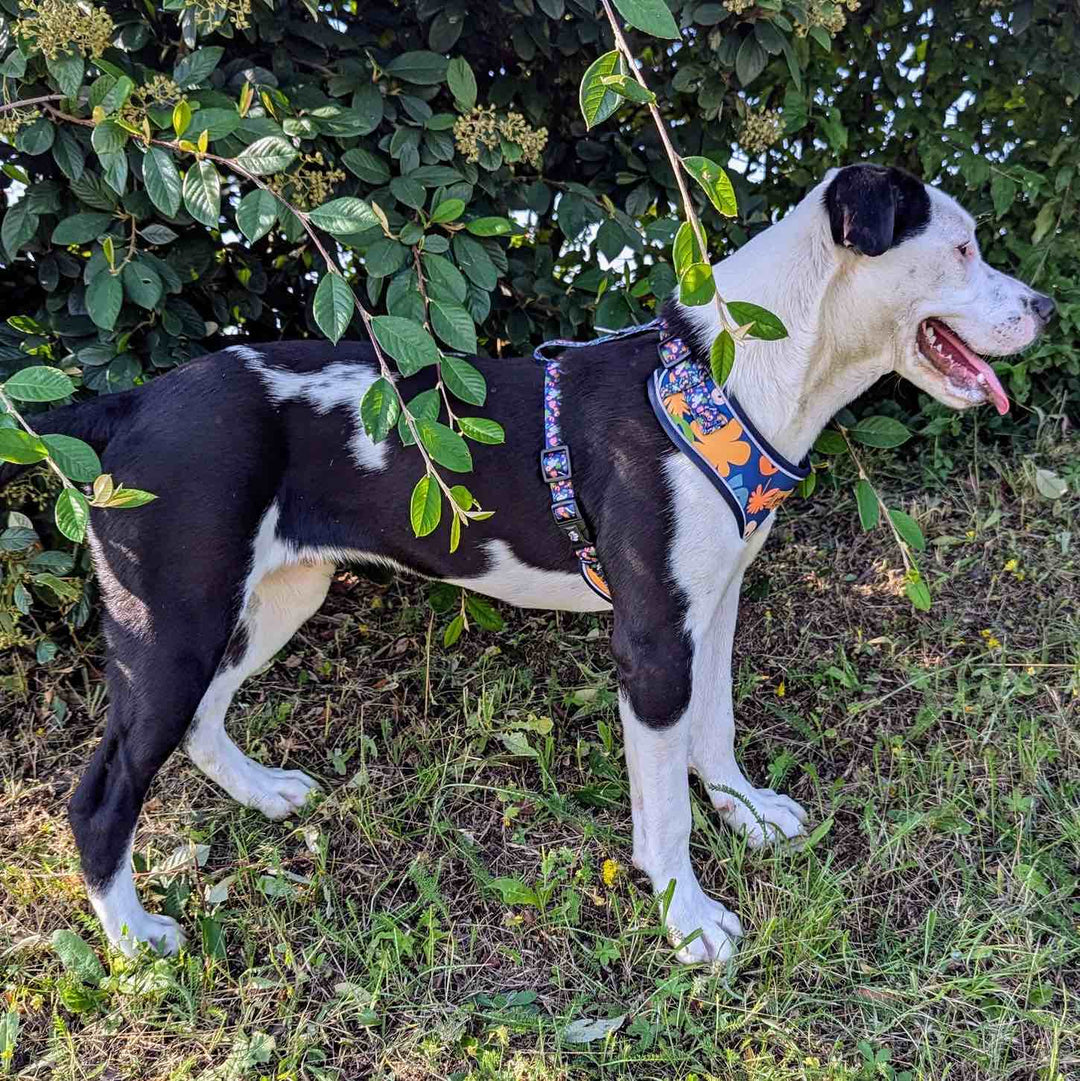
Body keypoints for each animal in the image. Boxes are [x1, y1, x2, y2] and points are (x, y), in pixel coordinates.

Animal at [4, 164, 1055, 959]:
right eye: (962, 248)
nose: (1046, 305)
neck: (734, 375)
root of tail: (129, 404)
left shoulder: (714, 604)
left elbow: (715, 729)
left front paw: (746, 812)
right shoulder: (651, 639)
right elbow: (663, 807)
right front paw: (690, 920)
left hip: (275, 594)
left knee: (201, 719)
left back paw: (263, 794)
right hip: (169, 621)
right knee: (102, 797)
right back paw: (135, 940)